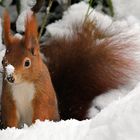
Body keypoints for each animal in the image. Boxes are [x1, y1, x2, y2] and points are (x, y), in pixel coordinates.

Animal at [1, 10, 140, 127]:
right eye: (3, 61)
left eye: (27, 63)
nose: (10, 77)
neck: (22, 84)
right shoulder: (9, 98)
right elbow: (11, 117)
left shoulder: (42, 95)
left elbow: (41, 112)